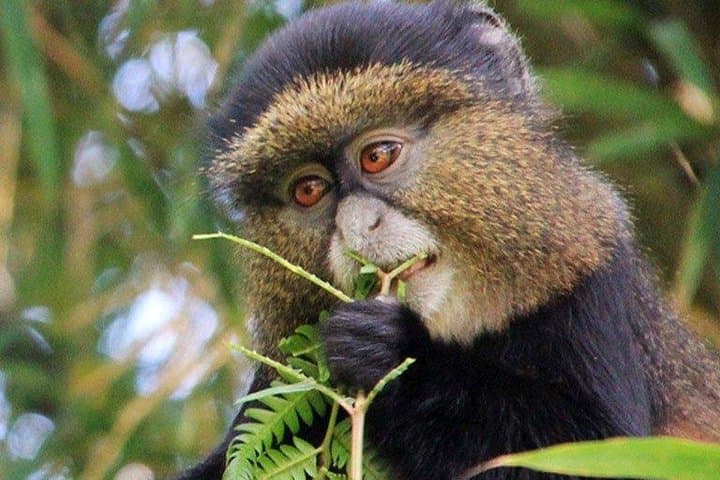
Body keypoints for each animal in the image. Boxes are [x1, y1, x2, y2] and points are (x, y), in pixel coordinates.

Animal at [177, 1, 720, 479]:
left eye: (378, 156)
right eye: (309, 190)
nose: (356, 228)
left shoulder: (591, 281)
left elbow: (593, 450)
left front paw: (392, 350)